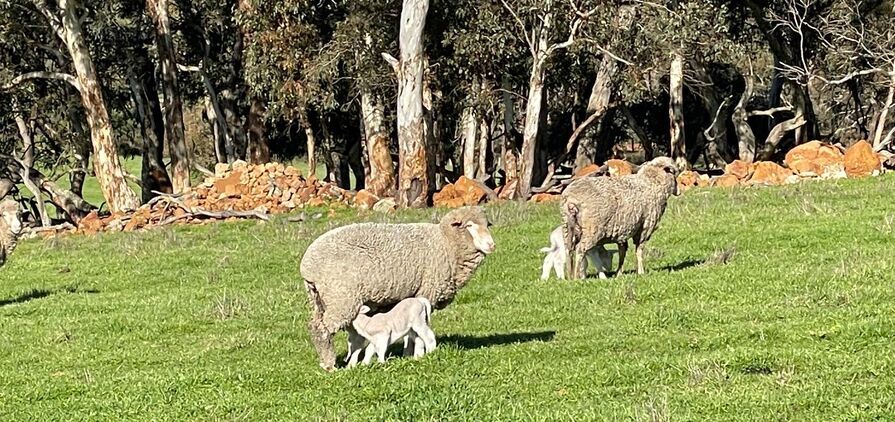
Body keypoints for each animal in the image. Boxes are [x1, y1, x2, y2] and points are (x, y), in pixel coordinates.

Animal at [300, 206, 495, 371]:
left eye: (487, 224)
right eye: (469, 225)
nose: (491, 245)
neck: (445, 242)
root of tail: (307, 265)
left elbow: (409, 331)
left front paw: (407, 354)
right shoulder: (426, 292)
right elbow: (416, 333)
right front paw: (417, 354)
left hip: (319, 299)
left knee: (318, 326)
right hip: (341, 297)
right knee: (322, 330)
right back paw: (329, 365)